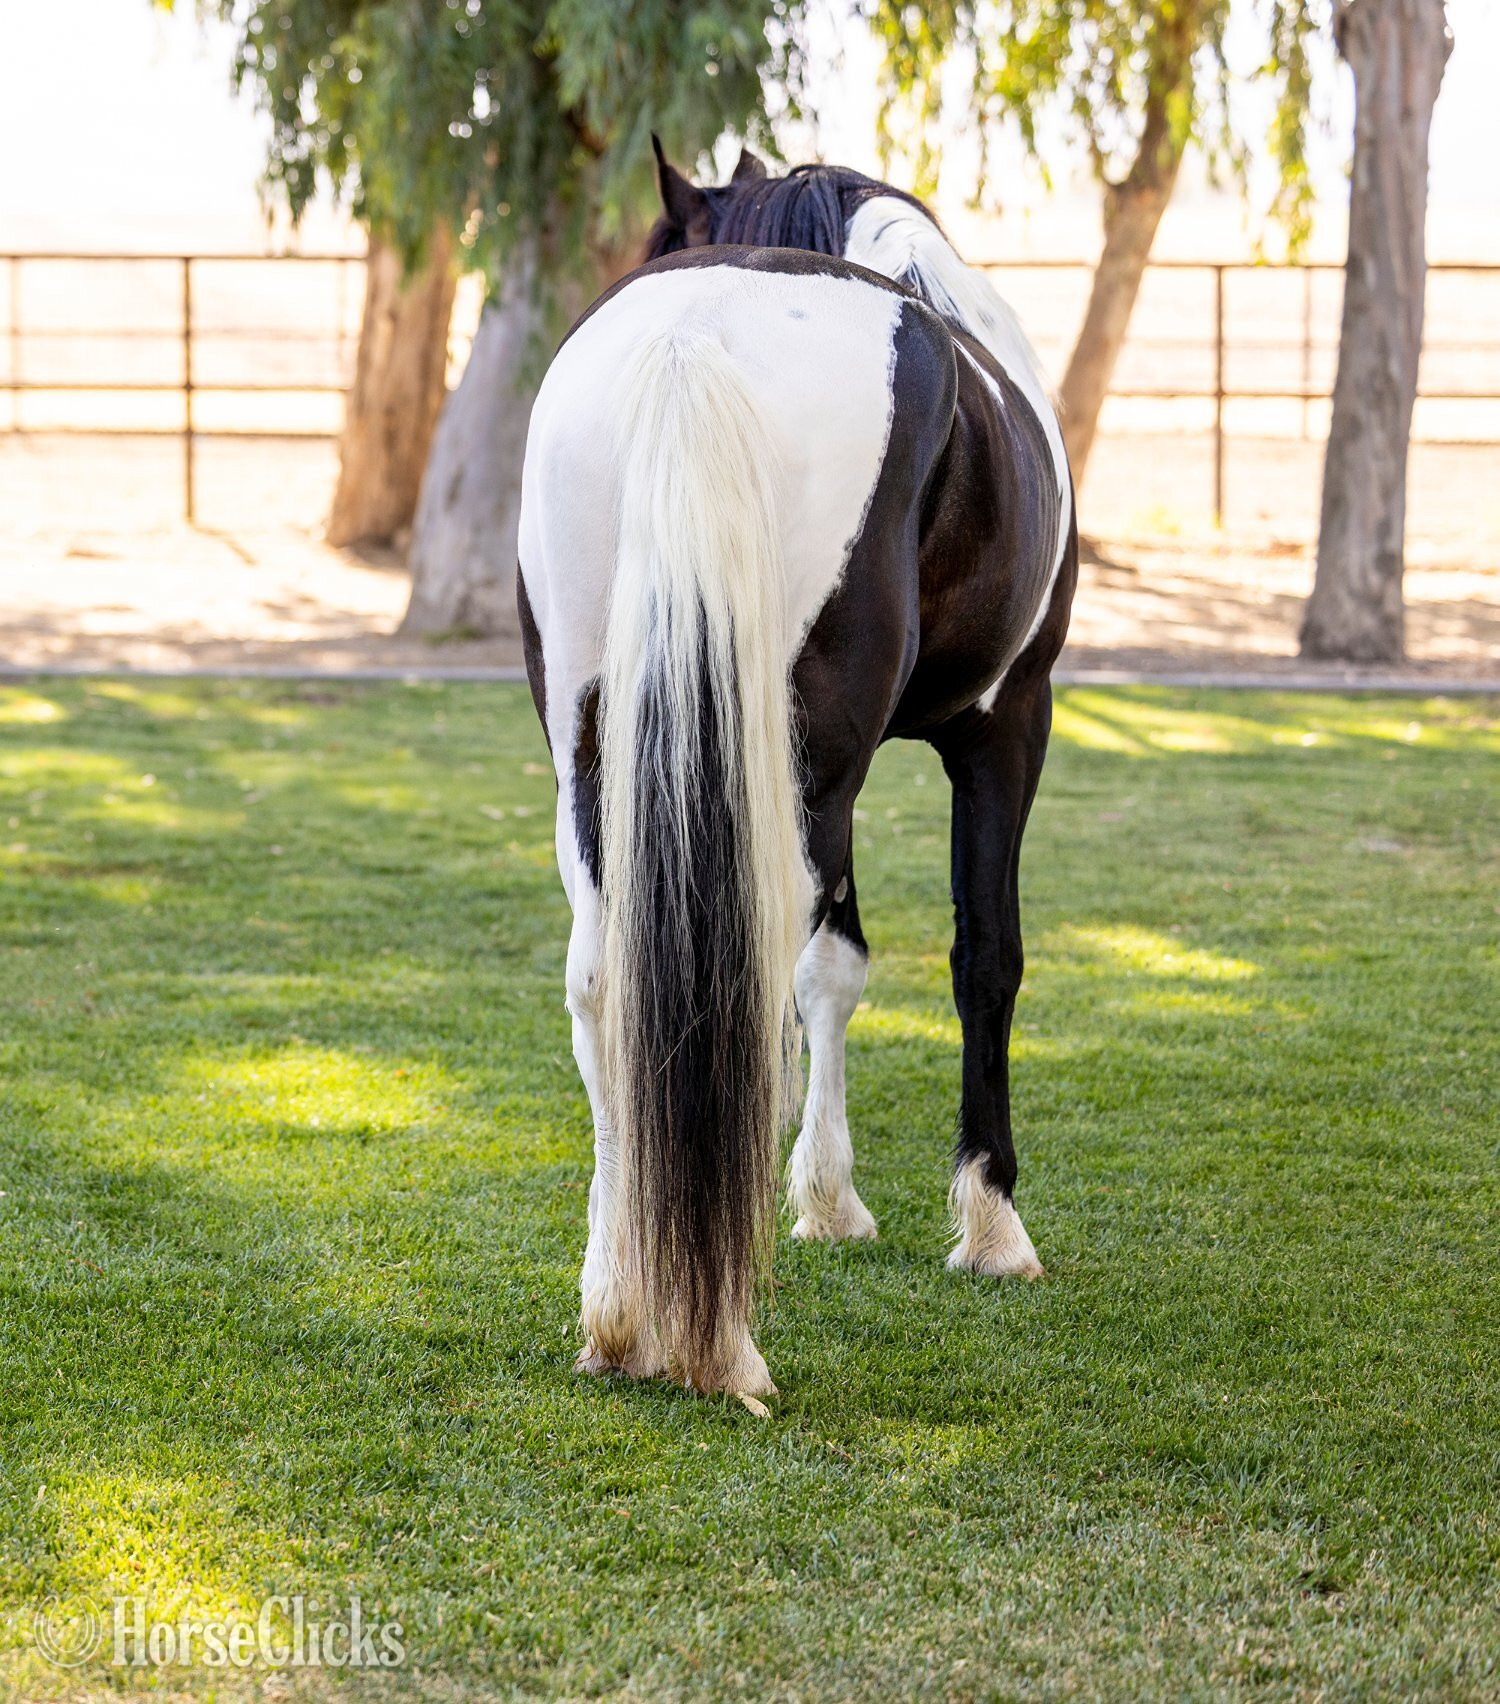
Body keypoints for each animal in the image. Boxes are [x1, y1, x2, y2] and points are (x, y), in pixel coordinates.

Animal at [516, 142, 1077, 1403]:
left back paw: (618, 1315)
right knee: (749, 970)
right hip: (811, 757)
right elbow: (983, 959)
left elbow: (835, 968)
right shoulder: (1006, 722)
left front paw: (825, 1197)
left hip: (593, 752)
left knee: (606, 984)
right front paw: (988, 1221)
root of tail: (694, 338)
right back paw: (717, 1340)